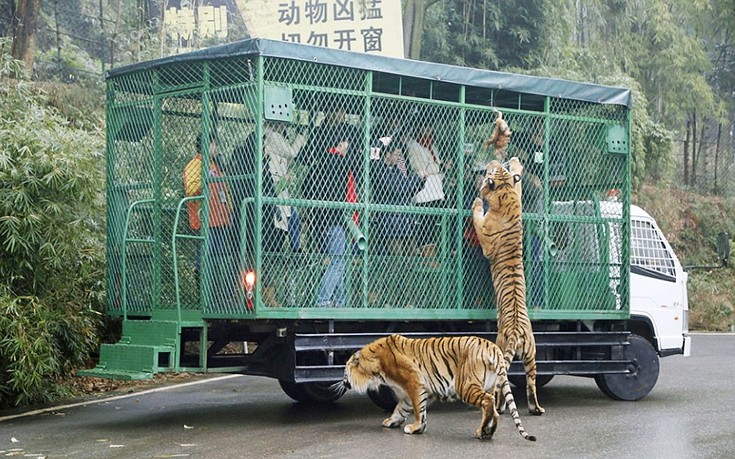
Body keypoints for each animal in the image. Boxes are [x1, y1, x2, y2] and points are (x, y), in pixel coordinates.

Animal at [338, 334, 536, 442]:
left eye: (345, 371)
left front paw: (415, 427)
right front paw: (392, 421)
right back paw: (486, 431)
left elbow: (418, 409)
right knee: (494, 408)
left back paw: (483, 432)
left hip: (465, 385)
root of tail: (493, 347)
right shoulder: (409, 393)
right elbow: (401, 409)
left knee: (488, 402)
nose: (342, 381)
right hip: (488, 385)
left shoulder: (414, 382)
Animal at [472, 159, 548, 416]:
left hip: (500, 345)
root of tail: (516, 331)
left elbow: (478, 217)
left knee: (499, 384)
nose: (493, 161)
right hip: (532, 354)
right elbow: (520, 183)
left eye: (491, 170)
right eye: (499, 168)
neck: (504, 191)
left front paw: (477, 201)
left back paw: (499, 406)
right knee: (531, 383)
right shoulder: (518, 193)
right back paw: (536, 409)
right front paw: (516, 162)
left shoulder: (485, 239)